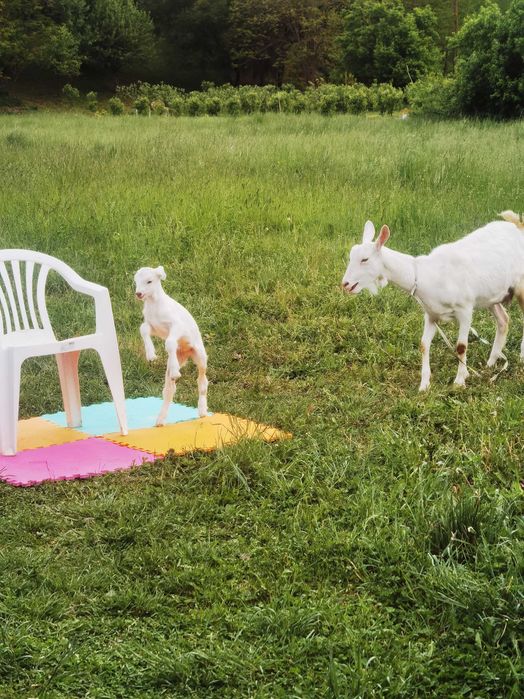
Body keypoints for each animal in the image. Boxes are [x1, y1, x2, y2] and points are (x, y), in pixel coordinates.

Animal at [134, 266, 208, 425]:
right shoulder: (153, 326)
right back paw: (160, 420)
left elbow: (169, 343)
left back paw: (202, 410)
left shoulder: (177, 326)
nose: (139, 294)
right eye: (136, 281)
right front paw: (151, 355)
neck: (155, 305)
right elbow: (143, 329)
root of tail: (186, 352)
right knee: (169, 389)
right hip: (178, 358)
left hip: (200, 355)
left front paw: (174, 370)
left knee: (202, 382)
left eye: (149, 281)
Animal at [341, 211, 524, 391]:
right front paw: (424, 385)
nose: (345, 284)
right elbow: (423, 345)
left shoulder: (465, 309)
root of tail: (518, 225)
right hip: (492, 295)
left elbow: (461, 346)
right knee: (503, 320)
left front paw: (460, 381)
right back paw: (491, 363)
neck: (424, 274)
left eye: (364, 259)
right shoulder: (431, 314)